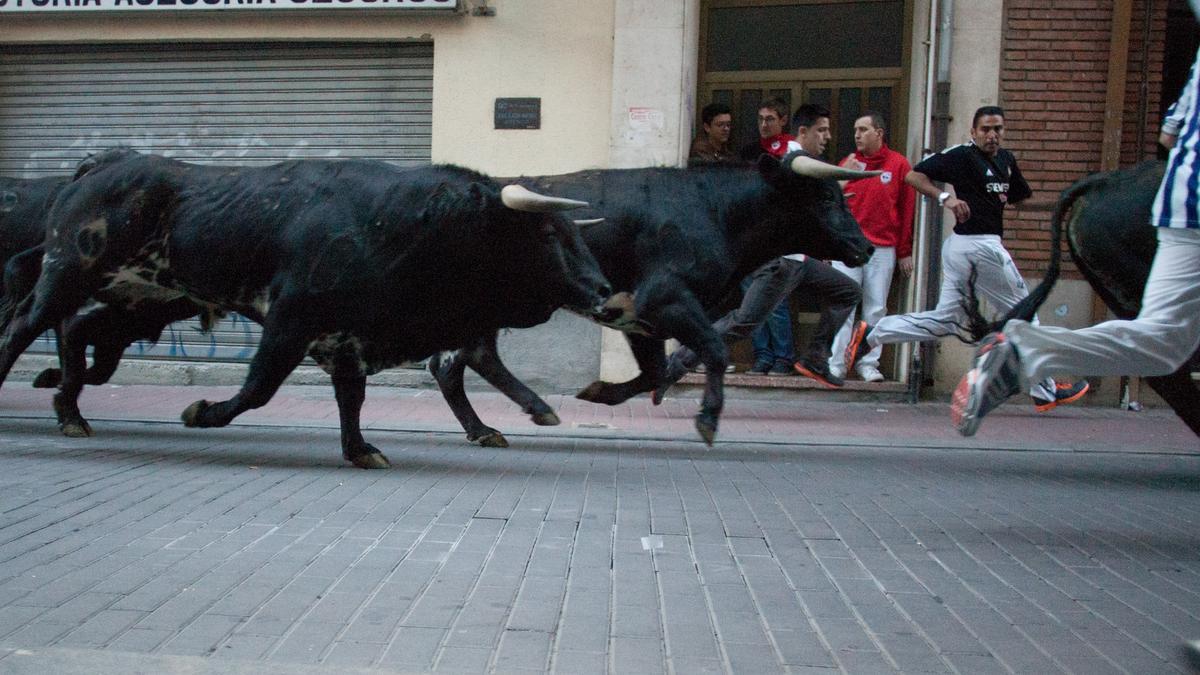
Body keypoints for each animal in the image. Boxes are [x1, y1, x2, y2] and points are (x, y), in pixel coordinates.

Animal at [0, 151, 614, 468]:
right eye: (549, 235)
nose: (605, 291)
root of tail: (106, 163)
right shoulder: (291, 319)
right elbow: (258, 388)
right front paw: (201, 411)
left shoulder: (349, 339)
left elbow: (351, 400)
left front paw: (360, 449)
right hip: (67, 272)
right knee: (24, 327)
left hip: (136, 298)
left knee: (77, 332)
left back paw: (69, 407)